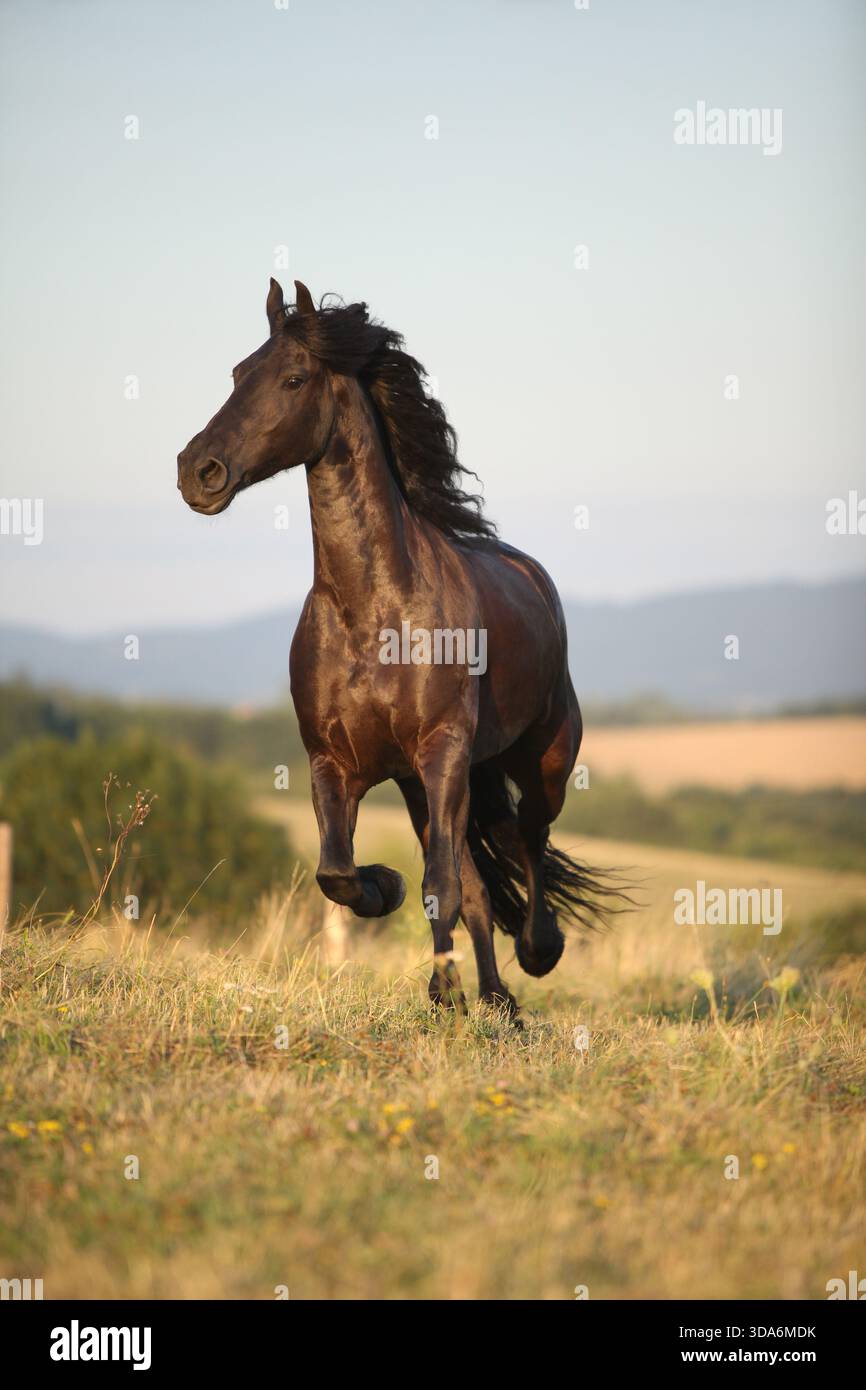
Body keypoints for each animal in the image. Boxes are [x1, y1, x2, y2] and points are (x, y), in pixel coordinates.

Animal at [177, 279, 621, 1021]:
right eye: (238, 374)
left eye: (293, 378)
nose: (197, 471)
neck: (372, 616)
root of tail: (531, 574)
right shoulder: (337, 762)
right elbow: (338, 871)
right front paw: (382, 889)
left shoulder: (442, 752)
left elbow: (440, 881)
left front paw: (441, 992)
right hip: (433, 783)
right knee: (483, 880)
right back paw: (498, 1002)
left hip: (540, 761)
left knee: (527, 840)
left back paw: (537, 953)